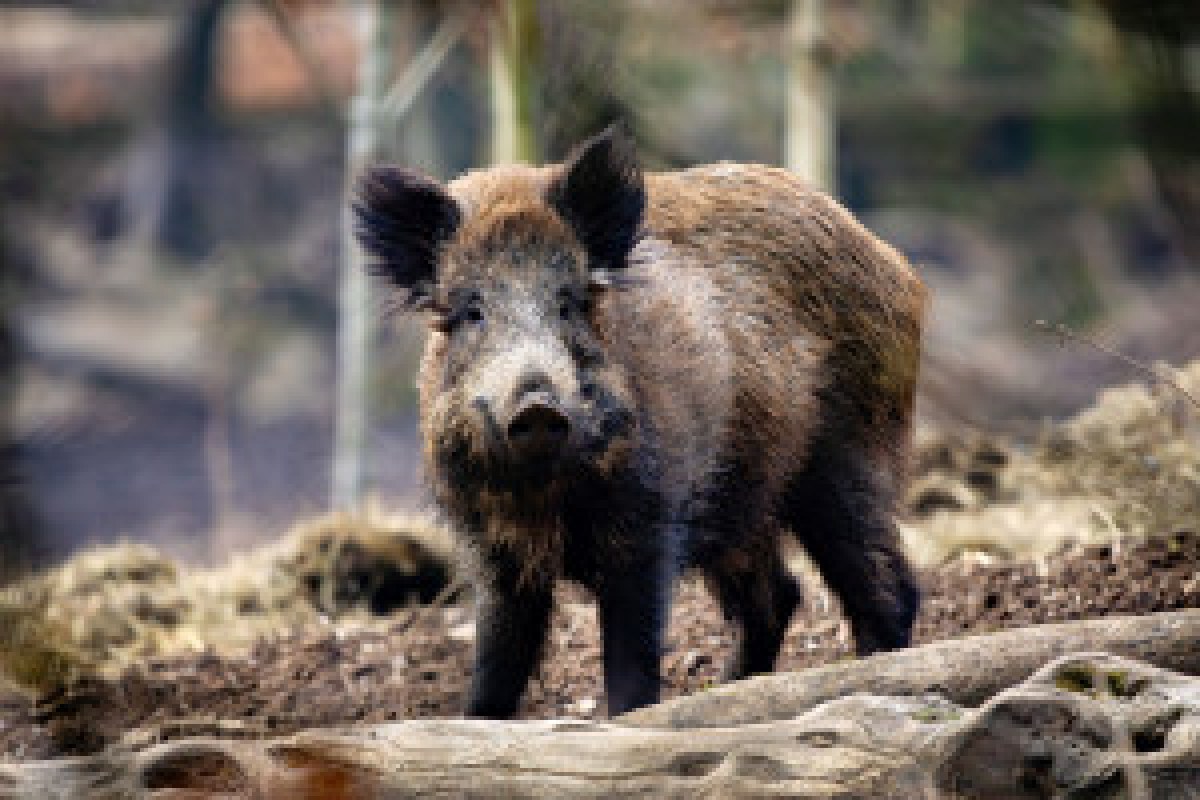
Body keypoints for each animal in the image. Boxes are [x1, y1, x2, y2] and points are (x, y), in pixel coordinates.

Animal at [353, 125, 925, 719]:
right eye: (472, 311)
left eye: (569, 302)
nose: (538, 404)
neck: (547, 496)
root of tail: (896, 263)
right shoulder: (491, 545)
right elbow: (496, 661)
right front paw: (476, 721)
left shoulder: (649, 522)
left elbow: (631, 656)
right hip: (741, 499)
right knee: (778, 594)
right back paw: (729, 689)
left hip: (847, 455)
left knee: (886, 585)